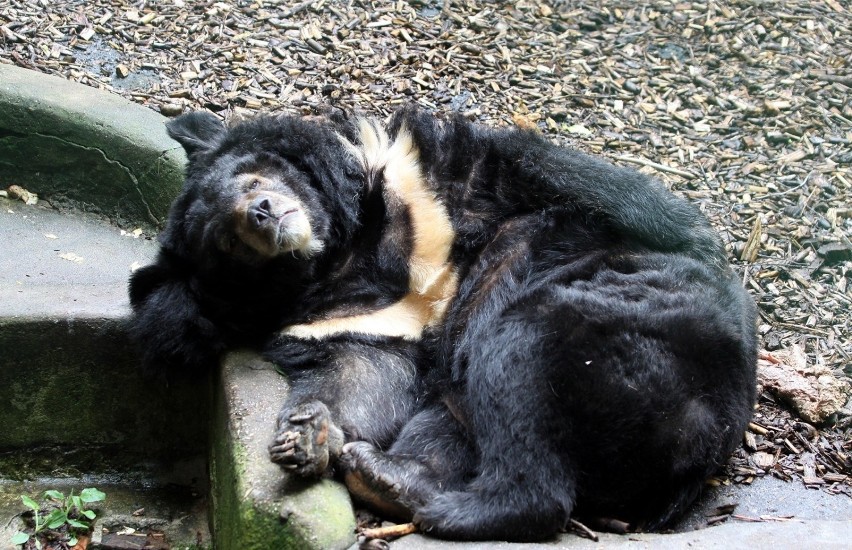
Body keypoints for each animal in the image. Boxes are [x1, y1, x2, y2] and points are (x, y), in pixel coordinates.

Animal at [131, 106, 760, 544]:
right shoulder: (351, 320)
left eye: (251, 179)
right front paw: (308, 434)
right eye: (228, 242)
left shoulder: (422, 176)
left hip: (627, 327)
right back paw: (389, 479)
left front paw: (695, 236)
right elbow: (365, 373)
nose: (263, 215)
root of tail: (702, 437)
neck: (342, 253)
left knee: (519, 357)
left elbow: (545, 169)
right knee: (469, 416)